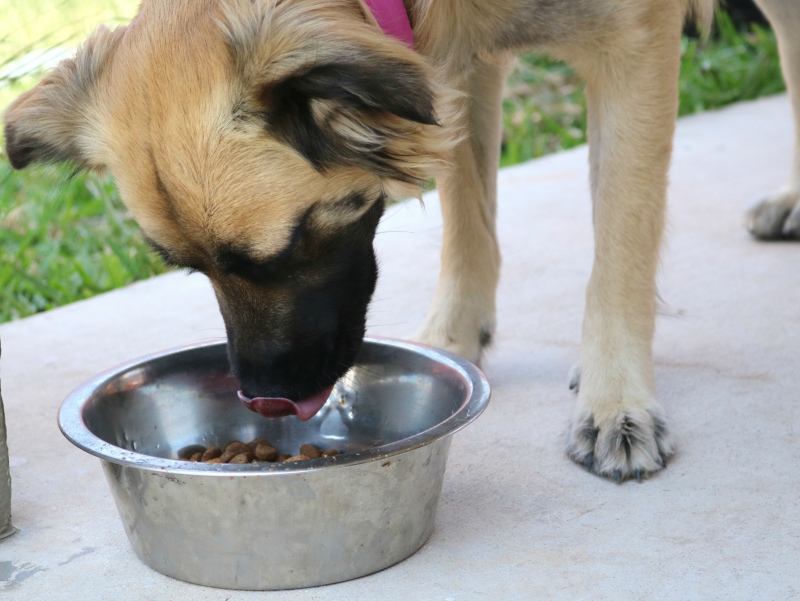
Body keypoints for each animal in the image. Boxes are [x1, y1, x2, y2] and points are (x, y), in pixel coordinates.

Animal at [3, 0, 796, 478]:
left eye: (290, 246)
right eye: (189, 269)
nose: (266, 403)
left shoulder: (632, 41)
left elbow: (621, 242)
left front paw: (615, 401)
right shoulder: (454, 66)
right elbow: (470, 220)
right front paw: (452, 341)